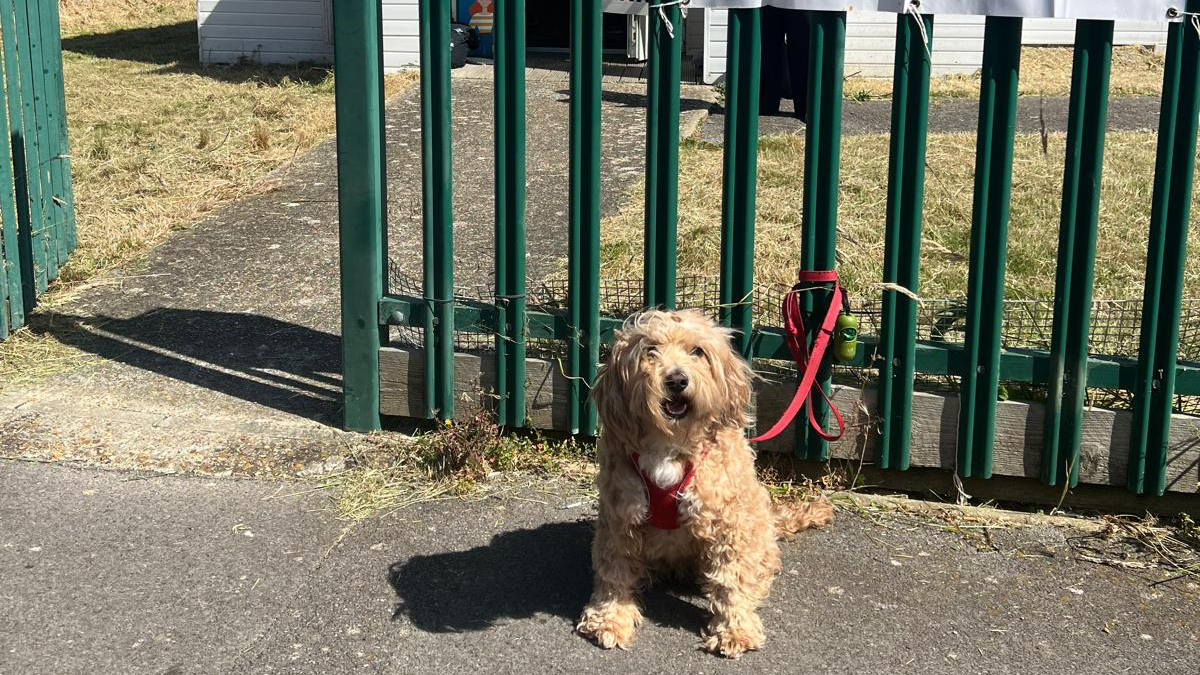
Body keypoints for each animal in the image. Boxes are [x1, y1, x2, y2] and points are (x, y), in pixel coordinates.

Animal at [578, 309, 835, 658]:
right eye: (650, 351)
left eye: (697, 351)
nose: (676, 380)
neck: (671, 444)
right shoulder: (620, 519)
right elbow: (614, 571)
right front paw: (610, 618)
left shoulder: (728, 521)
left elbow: (731, 581)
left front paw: (735, 629)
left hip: (755, 525)